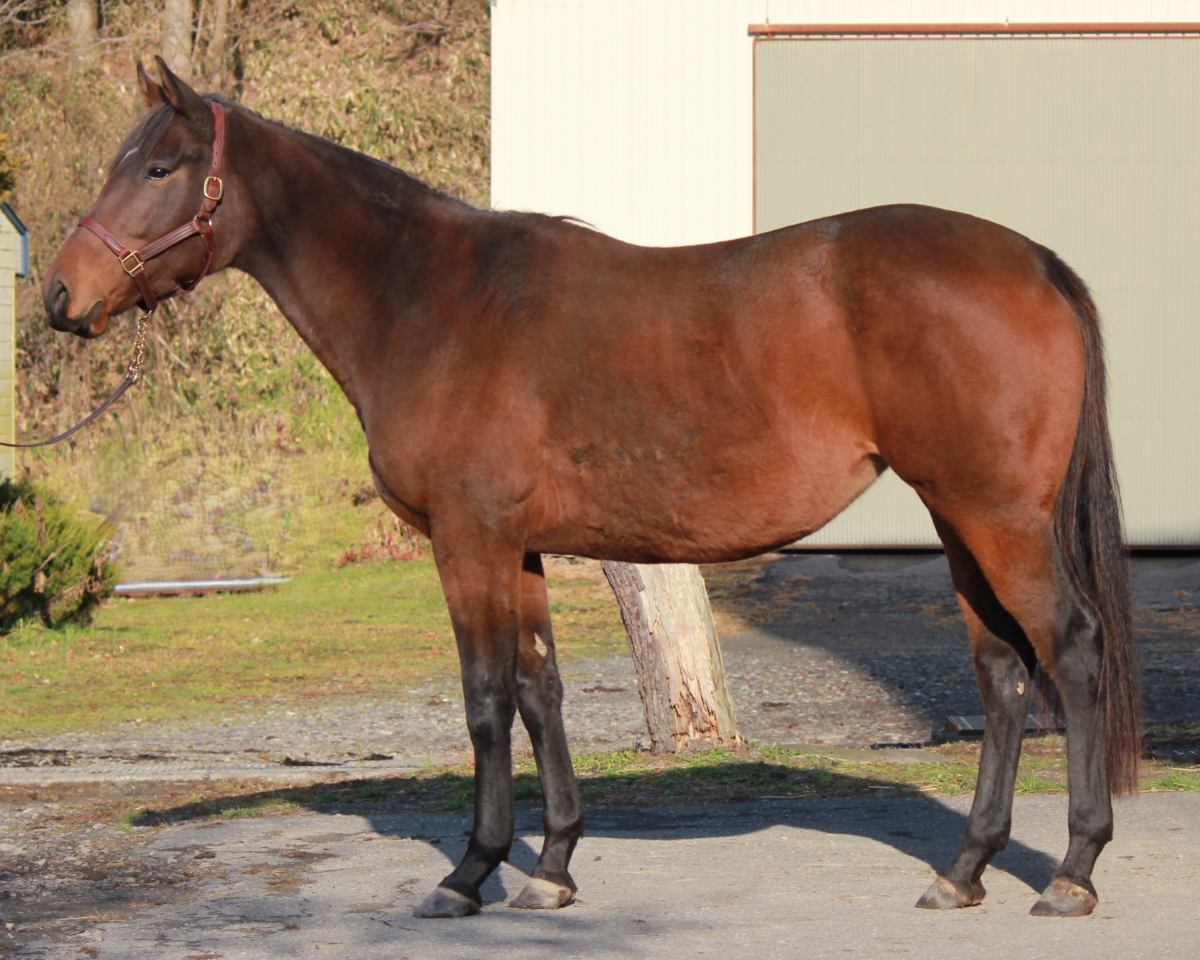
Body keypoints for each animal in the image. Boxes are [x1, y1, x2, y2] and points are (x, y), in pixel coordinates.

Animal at [43, 59, 1140, 920]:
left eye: (157, 168)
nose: (59, 296)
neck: (429, 299)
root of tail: (1034, 261)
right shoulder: (519, 547)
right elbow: (541, 690)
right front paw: (554, 868)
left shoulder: (469, 540)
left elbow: (486, 698)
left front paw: (471, 873)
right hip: (960, 518)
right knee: (1002, 672)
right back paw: (965, 870)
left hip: (998, 518)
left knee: (1070, 648)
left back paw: (1072, 872)